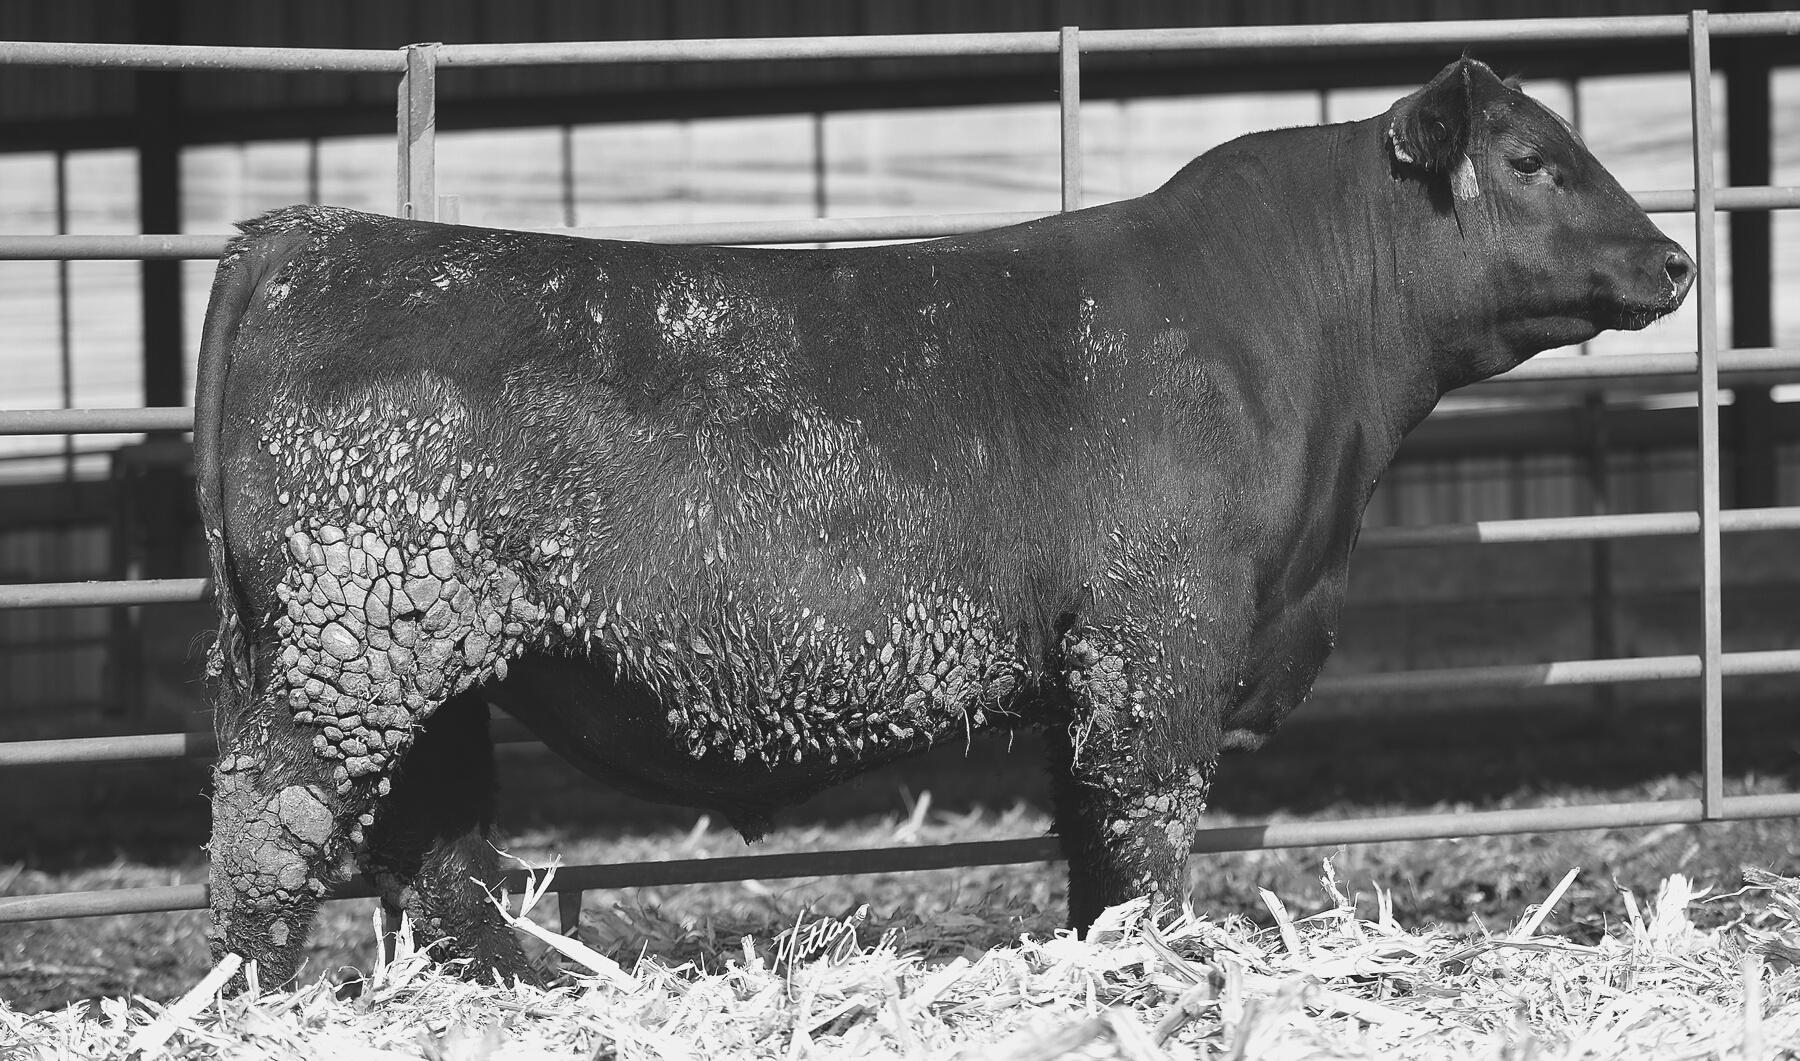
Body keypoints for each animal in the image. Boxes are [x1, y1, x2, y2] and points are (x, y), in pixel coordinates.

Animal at [195, 58, 1693, 986]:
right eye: (1530, 156)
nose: (1677, 259)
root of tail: (311, 237)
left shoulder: (1092, 665)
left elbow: (1093, 843)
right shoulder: (1160, 643)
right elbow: (1151, 827)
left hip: (425, 663)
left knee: (435, 857)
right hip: (352, 649)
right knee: (268, 838)